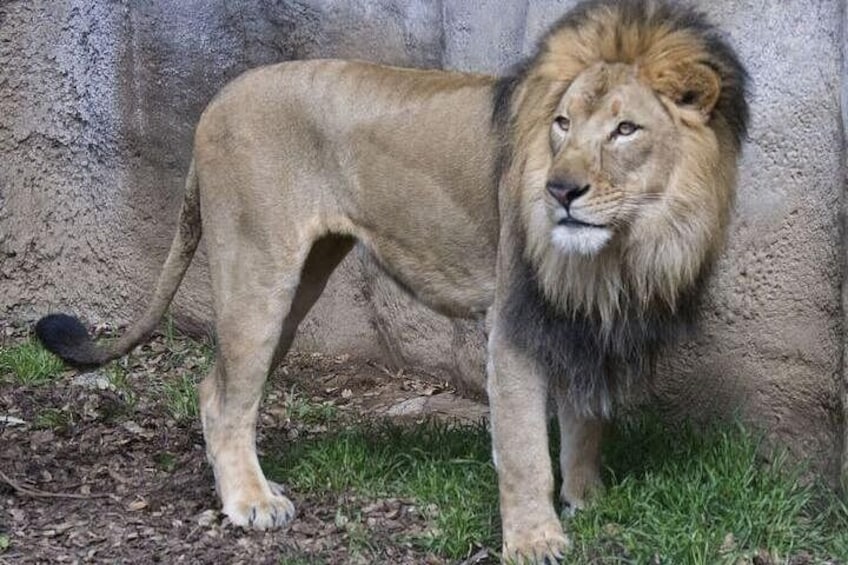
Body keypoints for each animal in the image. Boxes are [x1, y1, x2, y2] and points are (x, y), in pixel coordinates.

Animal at [35, 0, 748, 561]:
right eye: (562, 124)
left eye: (625, 129)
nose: (560, 190)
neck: (626, 244)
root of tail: (216, 101)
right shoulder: (516, 317)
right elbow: (523, 445)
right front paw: (535, 540)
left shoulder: (585, 314)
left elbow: (586, 416)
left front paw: (589, 498)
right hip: (257, 269)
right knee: (221, 395)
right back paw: (251, 502)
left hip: (298, 284)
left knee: (225, 384)